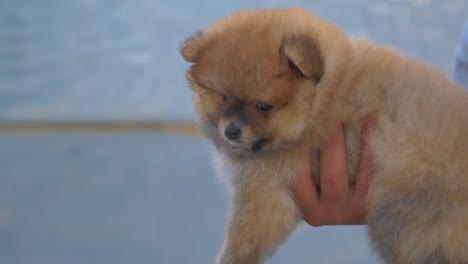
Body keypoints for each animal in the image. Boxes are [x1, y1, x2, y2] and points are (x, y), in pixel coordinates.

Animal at [180, 7, 468, 262]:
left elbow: (241, 244)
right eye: (222, 97)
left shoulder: (262, 194)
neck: (322, 102)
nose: (231, 131)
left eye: (262, 106)